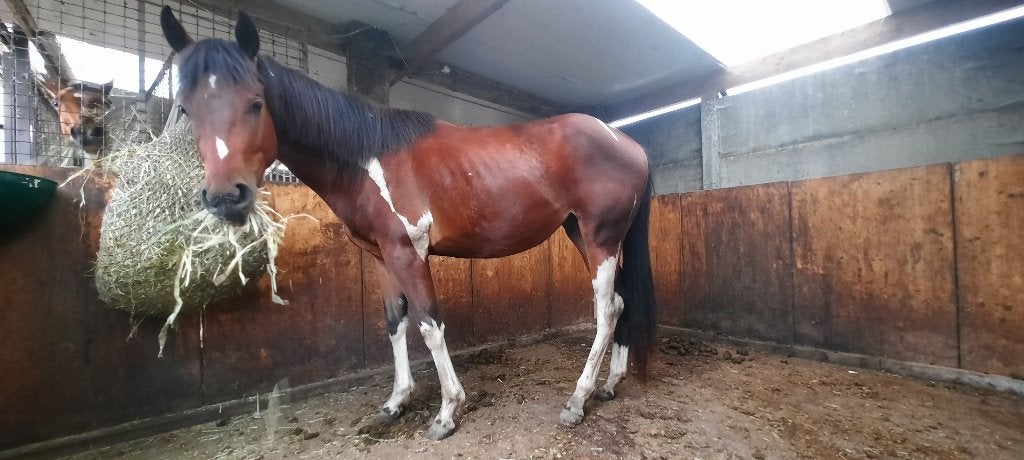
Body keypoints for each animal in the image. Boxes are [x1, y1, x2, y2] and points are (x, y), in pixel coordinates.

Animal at [161, 7, 656, 440]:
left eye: (255, 103)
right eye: (186, 108)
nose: (226, 198)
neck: (366, 156)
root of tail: (627, 141)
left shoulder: (409, 252)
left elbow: (430, 326)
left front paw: (446, 412)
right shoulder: (381, 256)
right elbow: (395, 324)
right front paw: (396, 402)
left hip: (600, 237)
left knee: (606, 309)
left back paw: (577, 400)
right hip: (587, 235)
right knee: (623, 301)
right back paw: (610, 384)